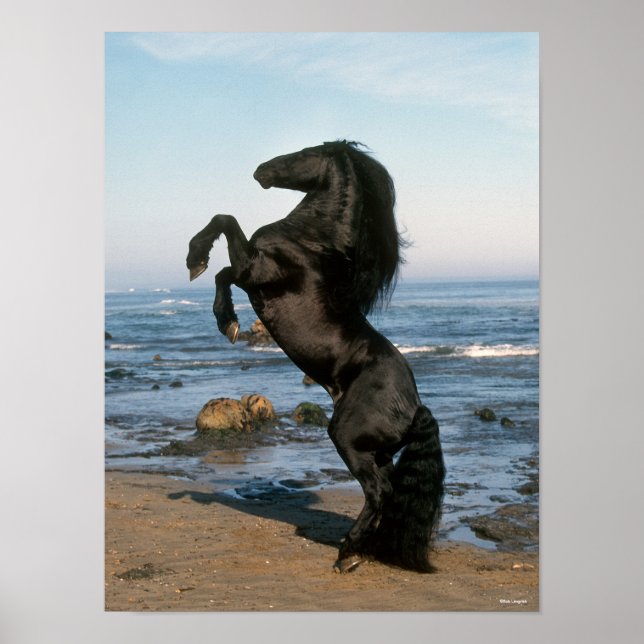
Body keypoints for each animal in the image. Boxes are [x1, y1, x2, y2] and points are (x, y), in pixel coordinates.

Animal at [186, 141, 445, 573]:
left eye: (305, 151)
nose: (261, 171)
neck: (311, 242)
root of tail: (415, 407)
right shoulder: (250, 270)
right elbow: (223, 263)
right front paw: (225, 314)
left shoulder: (253, 270)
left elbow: (225, 234)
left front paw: (205, 279)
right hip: (377, 452)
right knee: (387, 492)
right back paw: (361, 551)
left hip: (346, 436)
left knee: (378, 492)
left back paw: (347, 553)